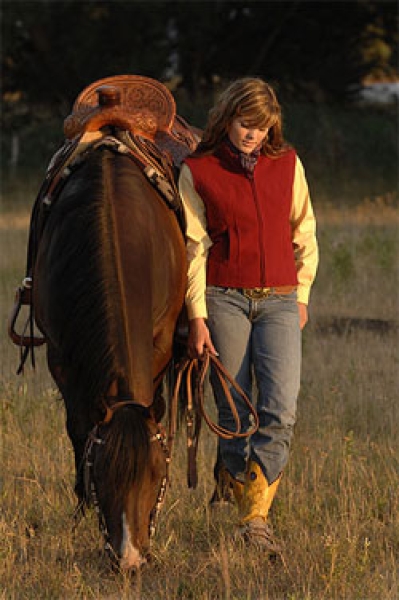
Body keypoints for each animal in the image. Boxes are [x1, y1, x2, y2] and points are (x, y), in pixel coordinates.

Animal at [30, 143, 187, 568]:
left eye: (157, 474)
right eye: (100, 474)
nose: (130, 559)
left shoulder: (160, 344)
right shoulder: (60, 358)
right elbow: (78, 428)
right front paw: (81, 509)